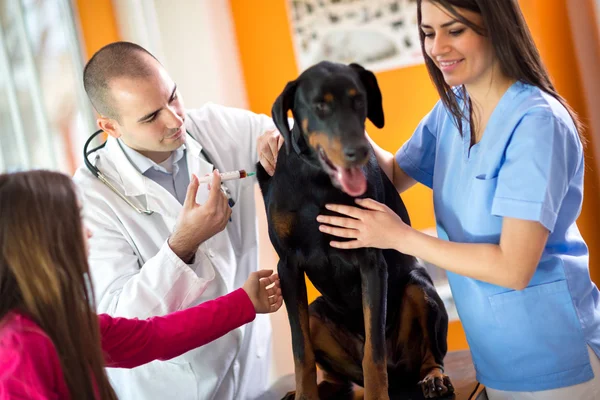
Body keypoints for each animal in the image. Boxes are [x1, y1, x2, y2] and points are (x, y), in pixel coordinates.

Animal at [255, 61, 452, 398]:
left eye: (359, 100)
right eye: (320, 106)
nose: (359, 151)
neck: (319, 182)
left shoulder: (370, 259)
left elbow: (373, 350)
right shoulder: (288, 265)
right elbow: (300, 350)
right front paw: (304, 394)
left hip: (419, 288)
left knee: (429, 355)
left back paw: (433, 378)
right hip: (317, 312)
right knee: (338, 377)